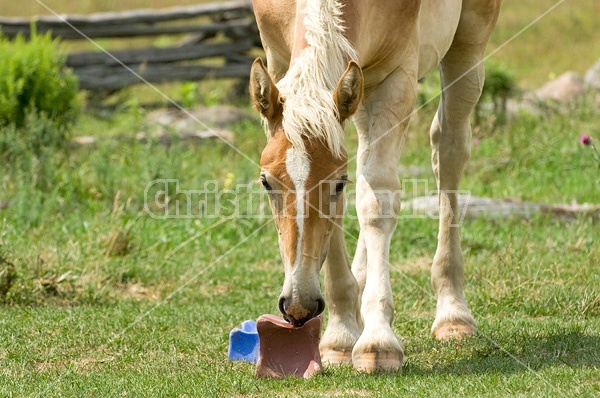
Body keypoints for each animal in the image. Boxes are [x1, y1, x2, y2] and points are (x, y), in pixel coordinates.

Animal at [248, 0, 502, 374]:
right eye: (266, 183)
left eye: (338, 185)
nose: (297, 307)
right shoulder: (279, 61)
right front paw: (340, 335)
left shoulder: (397, 76)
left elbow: (376, 201)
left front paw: (378, 341)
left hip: (468, 44)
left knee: (449, 149)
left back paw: (453, 314)